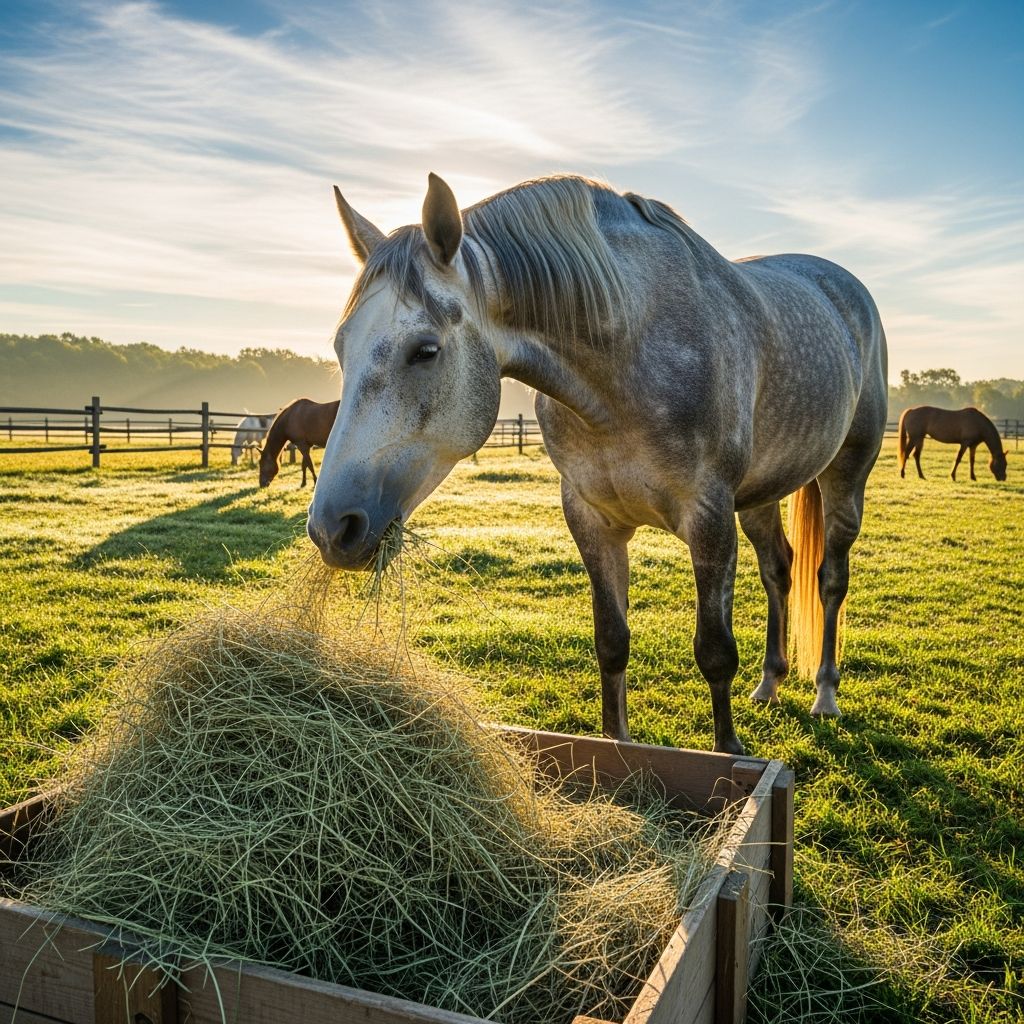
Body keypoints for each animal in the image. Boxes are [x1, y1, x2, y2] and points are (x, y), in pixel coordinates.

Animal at [307, 173, 888, 754]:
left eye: (425, 351)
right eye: (340, 348)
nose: (332, 528)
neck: (626, 362)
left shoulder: (709, 517)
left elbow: (716, 653)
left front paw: (730, 752)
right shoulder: (591, 517)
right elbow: (611, 642)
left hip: (845, 477)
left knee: (830, 579)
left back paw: (825, 694)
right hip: (759, 496)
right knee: (779, 570)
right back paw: (769, 682)